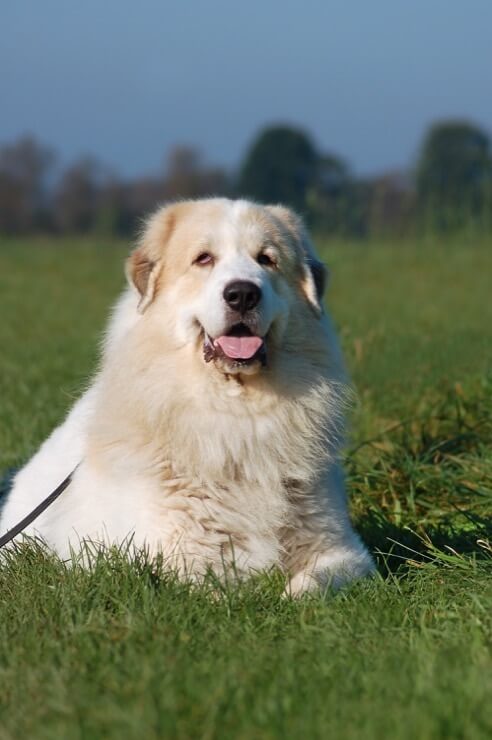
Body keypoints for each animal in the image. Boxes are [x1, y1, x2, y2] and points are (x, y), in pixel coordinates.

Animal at [0, 198, 372, 596]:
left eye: (266, 259)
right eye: (203, 259)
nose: (243, 293)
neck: (236, 412)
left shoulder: (344, 552)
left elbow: (312, 586)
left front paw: (291, 597)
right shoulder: (174, 560)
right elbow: (220, 595)